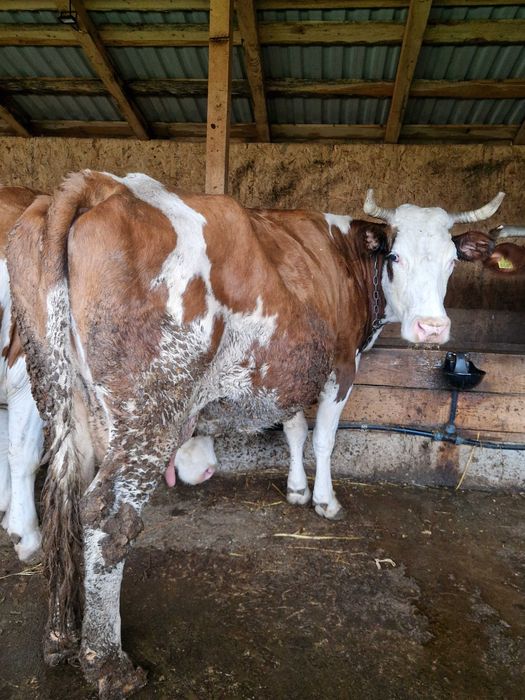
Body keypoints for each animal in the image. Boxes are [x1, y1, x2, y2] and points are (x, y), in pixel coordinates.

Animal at [7, 170, 503, 698]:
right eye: (395, 256)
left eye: (452, 260)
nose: (432, 328)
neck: (345, 257)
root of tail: (101, 184)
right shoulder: (342, 365)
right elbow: (323, 437)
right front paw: (325, 501)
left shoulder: (289, 371)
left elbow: (294, 428)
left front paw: (296, 490)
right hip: (150, 409)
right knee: (109, 515)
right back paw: (107, 662)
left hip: (61, 395)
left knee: (63, 496)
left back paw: (61, 635)